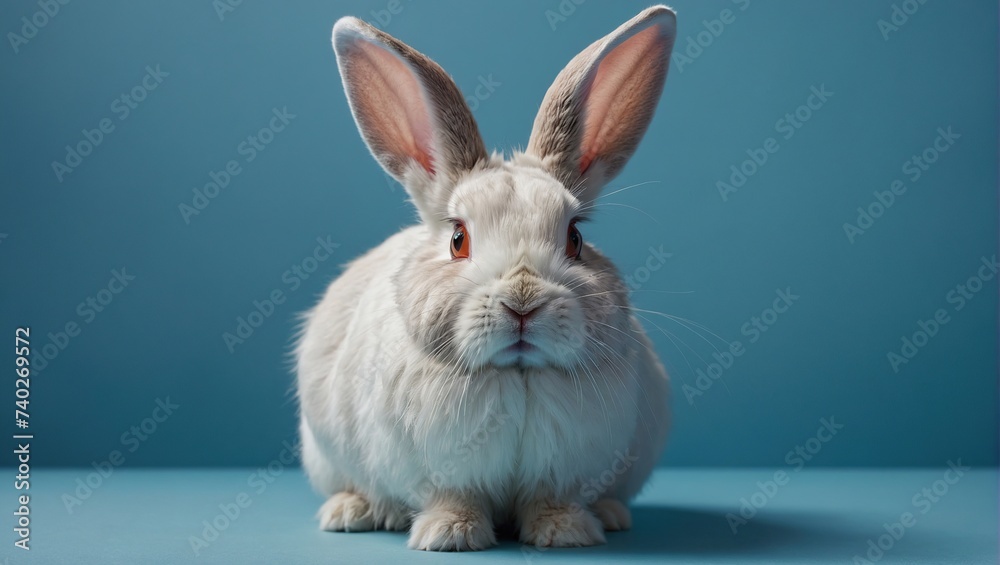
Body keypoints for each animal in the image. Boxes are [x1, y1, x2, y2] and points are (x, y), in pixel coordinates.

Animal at [292, 4, 676, 552]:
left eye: (576, 238)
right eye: (458, 239)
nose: (523, 302)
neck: (516, 375)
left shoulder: (564, 473)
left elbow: (551, 499)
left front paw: (565, 533)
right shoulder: (437, 471)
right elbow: (454, 497)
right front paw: (450, 535)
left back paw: (611, 514)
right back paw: (351, 511)